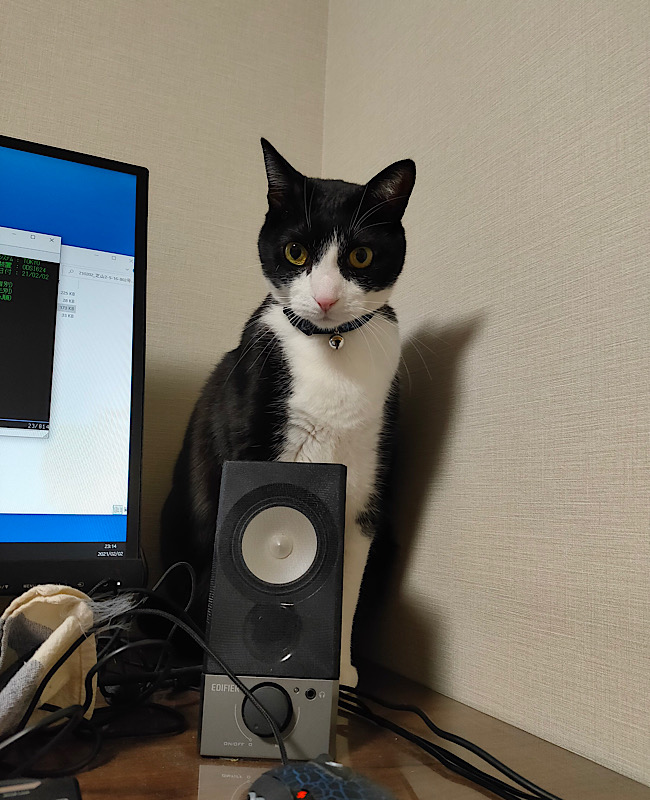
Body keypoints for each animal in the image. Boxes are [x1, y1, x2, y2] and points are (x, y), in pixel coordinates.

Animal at [161, 139, 415, 686]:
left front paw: (339, 671)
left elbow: (344, 582)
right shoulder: (253, 444)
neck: (331, 347)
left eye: (360, 255)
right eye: (296, 252)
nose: (325, 298)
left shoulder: (363, 495)